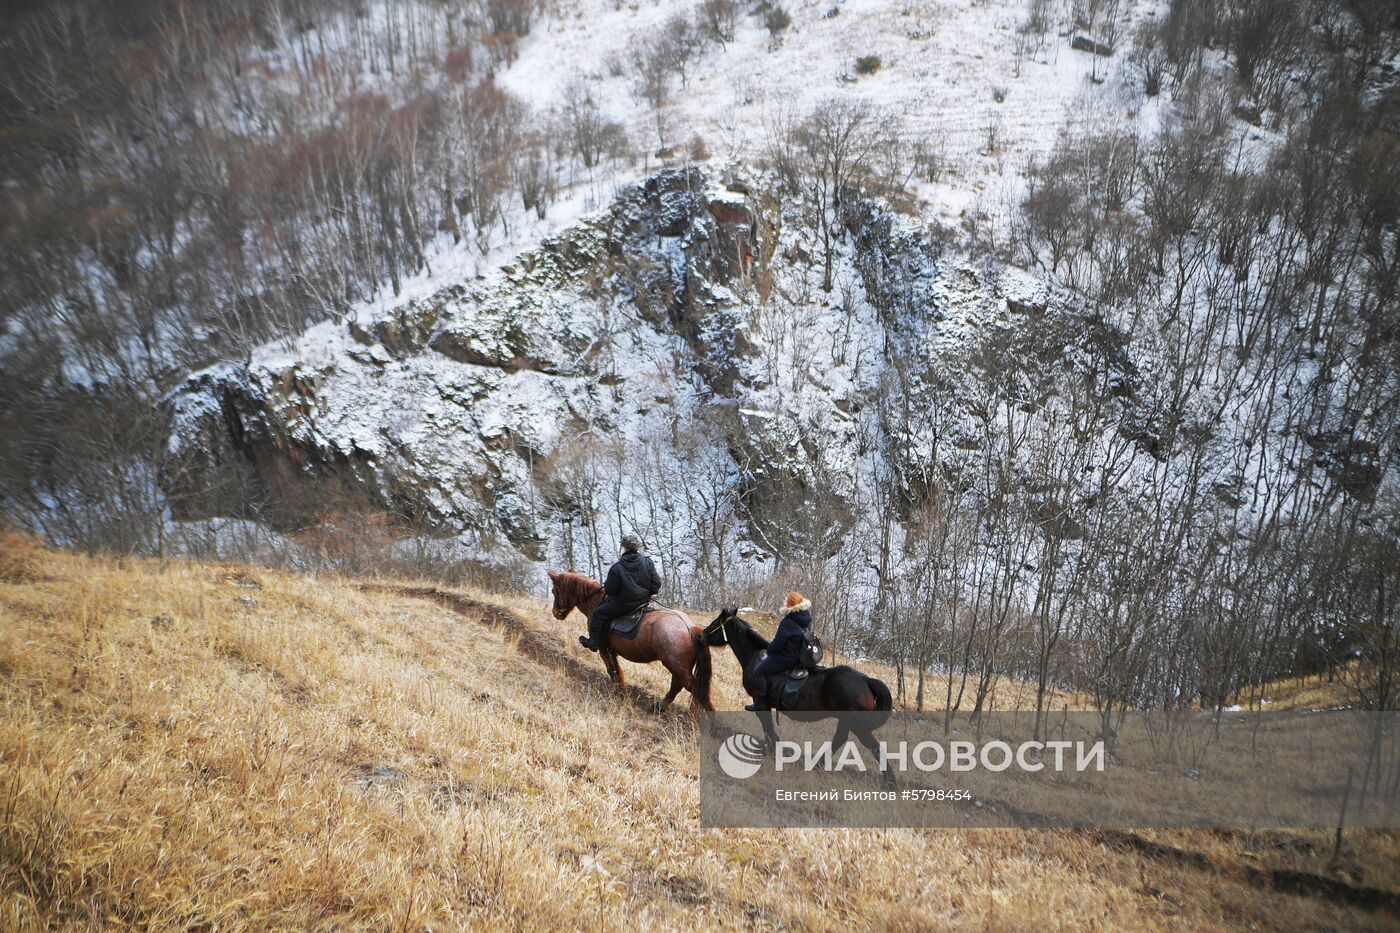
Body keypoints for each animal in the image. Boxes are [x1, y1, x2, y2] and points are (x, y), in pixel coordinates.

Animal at [546, 565, 716, 711]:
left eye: (554, 591)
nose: (555, 613)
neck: (596, 601)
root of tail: (690, 628)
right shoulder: (610, 651)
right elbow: (617, 672)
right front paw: (621, 693)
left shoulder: (604, 648)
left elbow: (613, 671)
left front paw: (619, 694)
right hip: (678, 667)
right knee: (677, 686)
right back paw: (658, 707)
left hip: (677, 666)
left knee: (694, 691)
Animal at [705, 602, 890, 762]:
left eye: (714, 624)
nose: (701, 636)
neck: (754, 656)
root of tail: (866, 680)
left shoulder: (761, 702)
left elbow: (767, 726)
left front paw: (770, 748)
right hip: (847, 721)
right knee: (841, 739)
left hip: (857, 723)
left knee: (872, 746)